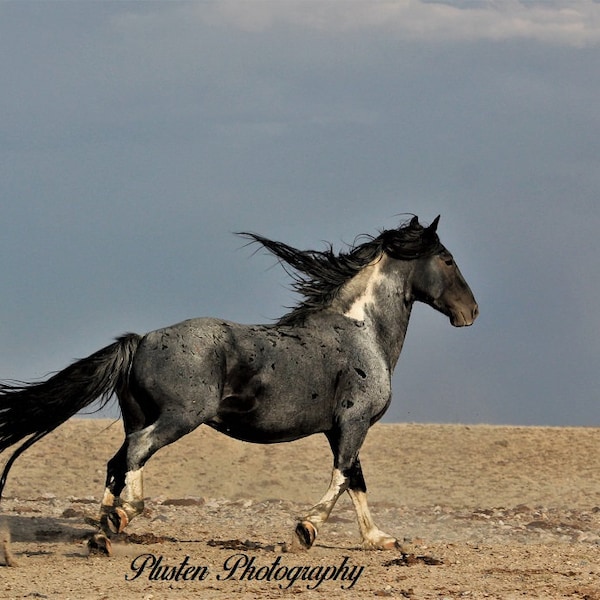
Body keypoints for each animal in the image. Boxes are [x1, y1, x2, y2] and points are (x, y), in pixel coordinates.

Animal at [0, 214, 478, 552]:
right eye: (448, 259)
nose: (470, 312)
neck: (361, 331)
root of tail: (141, 340)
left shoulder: (342, 429)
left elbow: (356, 480)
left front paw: (378, 539)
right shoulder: (353, 423)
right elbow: (344, 476)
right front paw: (305, 530)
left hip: (139, 416)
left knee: (116, 463)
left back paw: (103, 530)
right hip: (178, 417)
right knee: (135, 454)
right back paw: (125, 514)